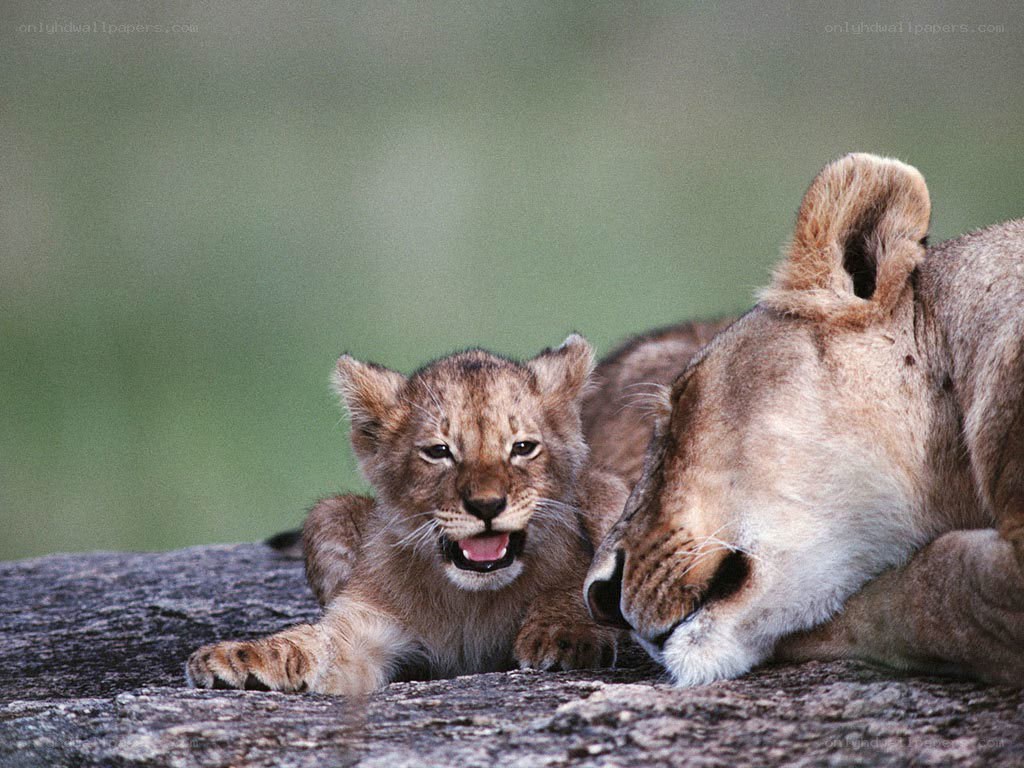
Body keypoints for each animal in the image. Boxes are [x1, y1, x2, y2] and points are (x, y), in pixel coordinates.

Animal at [186, 336, 626, 695]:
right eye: (438, 451)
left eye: (522, 447)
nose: (486, 506)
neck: (471, 600)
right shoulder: (362, 629)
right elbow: (310, 644)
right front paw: (238, 657)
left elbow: (572, 591)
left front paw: (565, 635)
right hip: (328, 513)